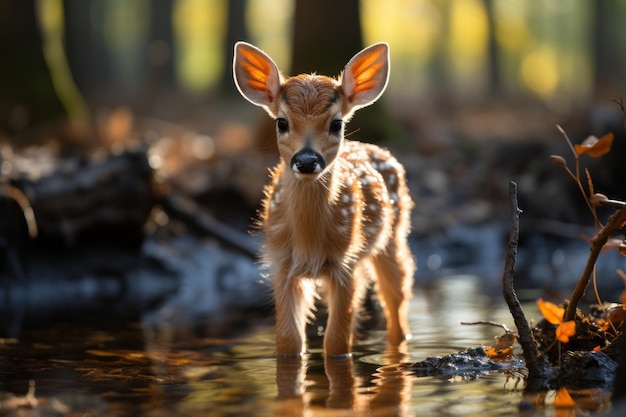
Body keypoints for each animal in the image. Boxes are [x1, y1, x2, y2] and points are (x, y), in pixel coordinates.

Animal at [232, 41, 412, 354]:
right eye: (282, 122)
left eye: (336, 124)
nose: (306, 160)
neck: (309, 240)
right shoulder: (282, 263)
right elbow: (289, 339)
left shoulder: (346, 262)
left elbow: (337, 342)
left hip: (393, 237)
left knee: (398, 303)